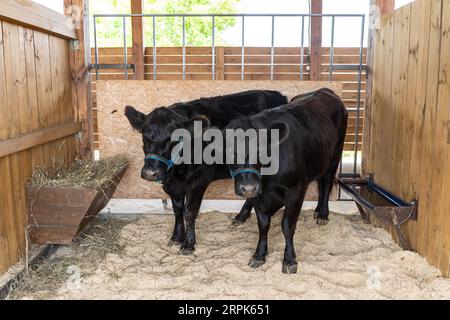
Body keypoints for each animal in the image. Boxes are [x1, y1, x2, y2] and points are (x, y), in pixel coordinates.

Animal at [125, 90, 286, 255]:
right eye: (144, 136)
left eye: (174, 138)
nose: (151, 173)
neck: (177, 172)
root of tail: (277, 94)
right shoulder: (172, 185)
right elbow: (177, 210)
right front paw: (176, 237)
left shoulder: (199, 179)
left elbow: (189, 211)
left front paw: (188, 244)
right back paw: (241, 217)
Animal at [225, 89, 348, 274]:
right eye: (229, 151)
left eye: (262, 150)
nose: (248, 188)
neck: (269, 181)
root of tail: (324, 91)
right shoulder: (259, 195)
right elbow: (263, 224)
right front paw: (259, 255)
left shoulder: (295, 191)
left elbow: (287, 225)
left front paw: (289, 260)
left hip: (336, 154)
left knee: (326, 183)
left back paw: (323, 214)